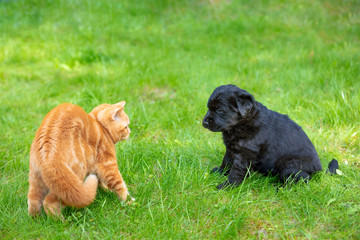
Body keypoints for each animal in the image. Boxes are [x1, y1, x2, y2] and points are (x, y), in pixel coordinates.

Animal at [204, 84, 338, 189]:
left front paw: (228, 186)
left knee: (303, 179)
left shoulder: (244, 155)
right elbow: (226, 161)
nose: (204, 122)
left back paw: (280, 188)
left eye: (219, 110)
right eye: (209, 108)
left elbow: (235, 172)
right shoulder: (231, 148)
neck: (242, 123)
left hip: (288, 166)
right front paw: (220, 172)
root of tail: (319, 169)